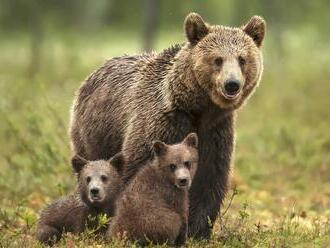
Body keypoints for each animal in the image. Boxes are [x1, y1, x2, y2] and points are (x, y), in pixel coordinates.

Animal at [69, 12, 266, 238]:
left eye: (242, 59)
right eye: (218, 59)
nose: (232, 84)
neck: (198, 108)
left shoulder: (215, 131)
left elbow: (209, 179)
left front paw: (197, 230)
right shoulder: (162, 124)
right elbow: (137, 171)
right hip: (94, 133)